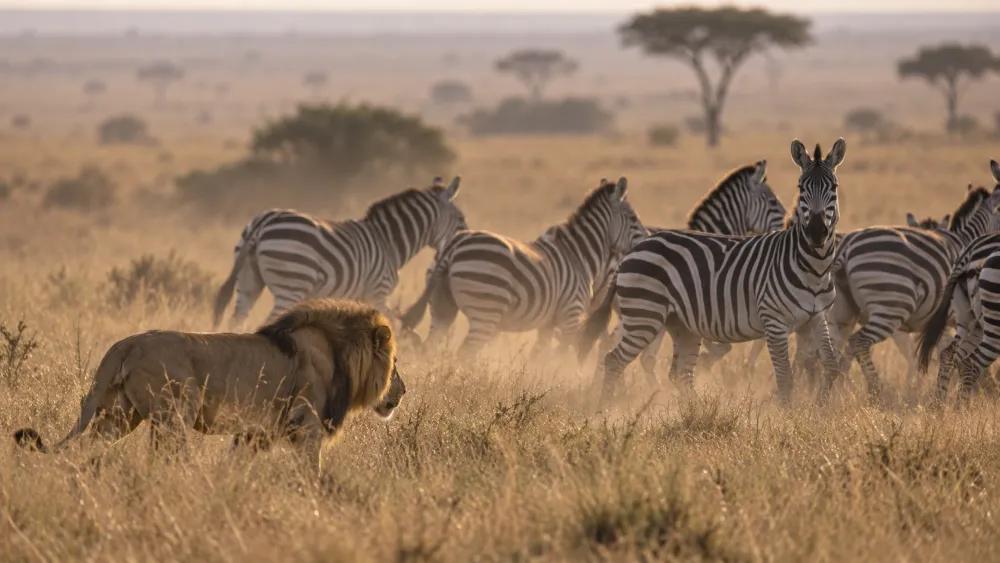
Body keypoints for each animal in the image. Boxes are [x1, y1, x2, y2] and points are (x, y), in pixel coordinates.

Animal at [212, 176, 467, 330]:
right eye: (460, 219)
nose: (465, 237)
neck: (388, 242)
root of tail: (262, 222)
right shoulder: (377, 291)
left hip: (248, 280)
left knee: (237, 320)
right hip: (291, 282)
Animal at [400, 177, 646, 359]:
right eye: (633, 217)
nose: (647, 240)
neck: (579, 255)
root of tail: (452, 246)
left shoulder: (548, 324)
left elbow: (539, 357)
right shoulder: (570, 314)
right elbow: (563, 356)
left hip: (442, 307)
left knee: (430, 348)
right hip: (485, 310)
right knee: (464, 353)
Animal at [578, 139, 847, 408]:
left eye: (834, 187)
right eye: (801, 188)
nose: (816, 232)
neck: (815, 269)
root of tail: (632, 250)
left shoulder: (817, 319)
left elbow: (831, 367)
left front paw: (819, 407)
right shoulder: (774, 322)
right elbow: (785, 379)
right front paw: (788, 414)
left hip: (678, 324)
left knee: (679, 372)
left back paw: (695, 409)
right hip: (644, 316)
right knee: (614, 360)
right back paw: (605, 408)